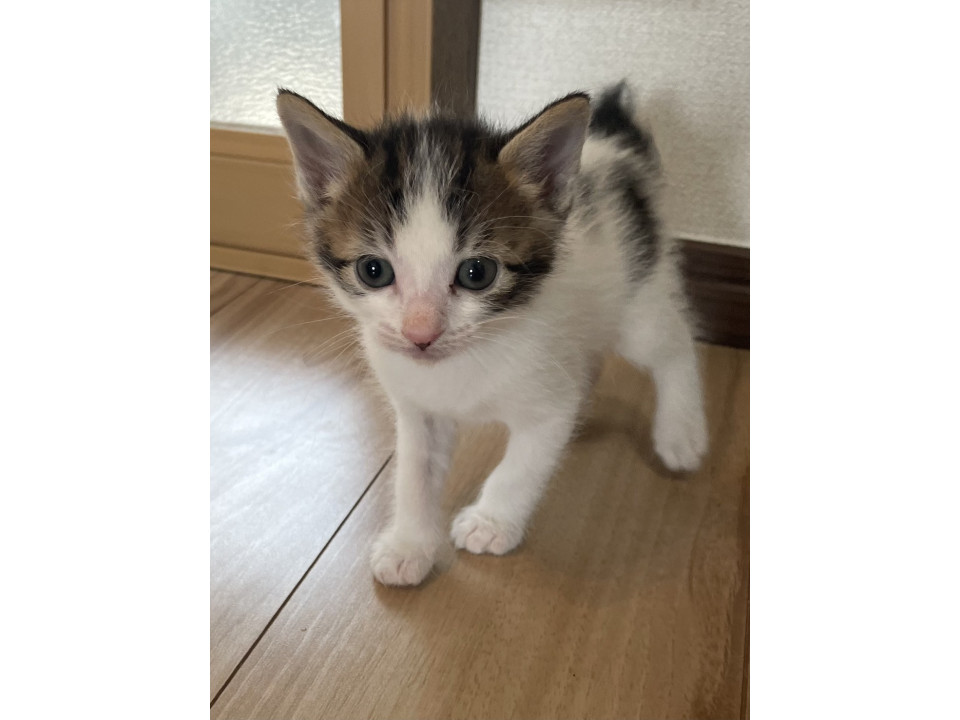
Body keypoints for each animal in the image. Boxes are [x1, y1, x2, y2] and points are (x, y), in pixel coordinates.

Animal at [276, 82, 707, 587]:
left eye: (477, 273)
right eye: (373, 270)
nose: (421, 333)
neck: (461, 361)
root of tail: (611, 150)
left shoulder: (547, 407)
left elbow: (522, 466)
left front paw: (491, 522)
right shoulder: (417, 409)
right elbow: (413, 473)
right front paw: (409, 544)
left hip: (635, 301)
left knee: (674, 342)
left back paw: (681, 433)